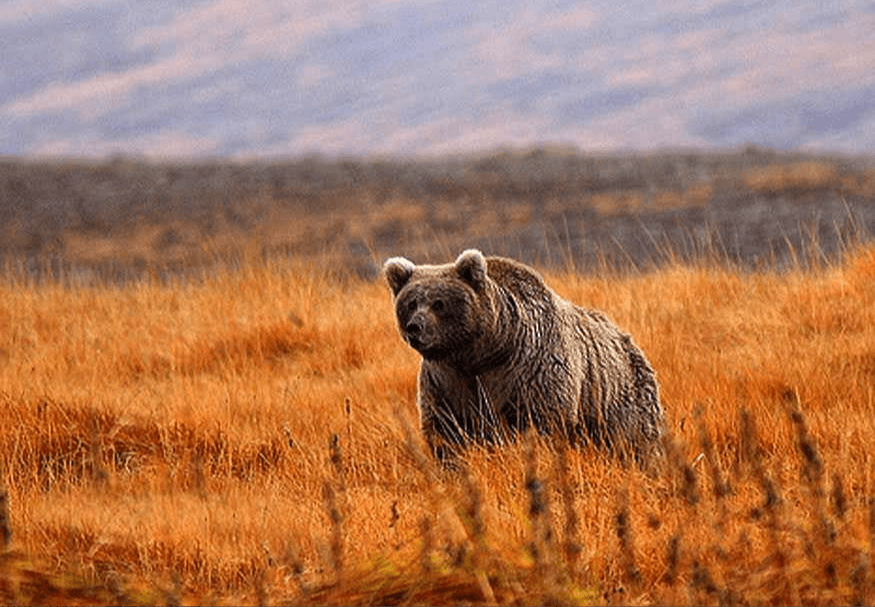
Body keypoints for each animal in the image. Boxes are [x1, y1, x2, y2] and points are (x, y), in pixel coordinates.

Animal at [384, 249, 664, 464]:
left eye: (439, 303)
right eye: (411, 303)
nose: (415, 327)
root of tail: (631, 343)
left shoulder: (529, 370)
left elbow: (544, 422)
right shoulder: (446, 379)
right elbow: (445, 430)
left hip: (620, 400)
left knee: (636, 442)